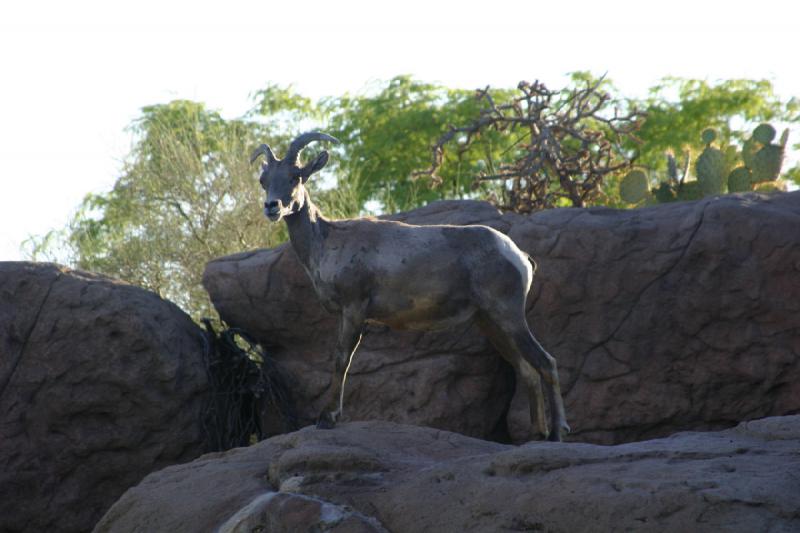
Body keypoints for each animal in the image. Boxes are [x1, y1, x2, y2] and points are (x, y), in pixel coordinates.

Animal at [250, 132, 568, 440]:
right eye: (264, 181)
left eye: (295, 176)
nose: (272, 207)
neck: (328, 242)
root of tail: (519, 256)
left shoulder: (353, 310)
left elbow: (342, 359)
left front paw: (327, 419)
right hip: (489, 322)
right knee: (527, 369)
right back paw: (538, 434)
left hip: (508, 315)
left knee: (546, 362)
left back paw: (557, 434)